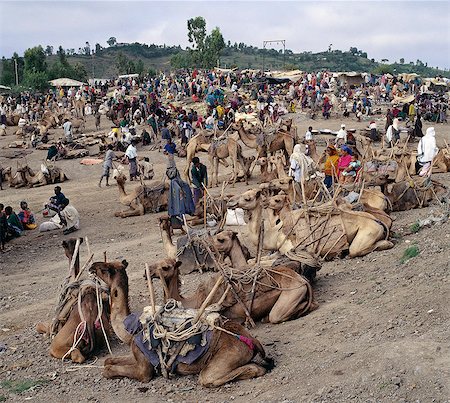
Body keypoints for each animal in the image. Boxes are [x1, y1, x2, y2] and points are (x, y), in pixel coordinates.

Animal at [89, 258, 268, 388]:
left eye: (104, 268)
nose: (92, 266)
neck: (131, 330)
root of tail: (253, 341)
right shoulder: (135, 354)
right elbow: (108, 361)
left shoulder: (143, 368)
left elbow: (108, 370)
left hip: (226, 357)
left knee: (209, 377)